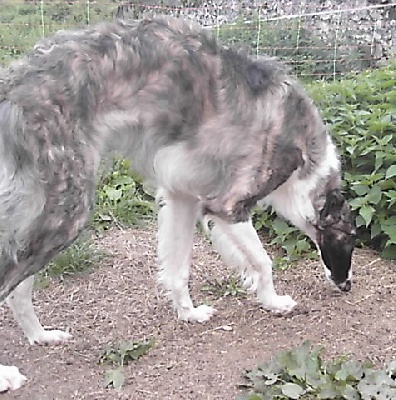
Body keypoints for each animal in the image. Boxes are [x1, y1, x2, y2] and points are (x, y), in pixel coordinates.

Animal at [0, 16, 356, 390]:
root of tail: (12, 84)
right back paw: (7, 373)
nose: (347, 285)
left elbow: (178, 270)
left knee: (18, 290)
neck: (301, 142)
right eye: (350, 237)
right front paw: (274, 302)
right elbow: (263, 262)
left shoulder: (181, 197)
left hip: (40, 213)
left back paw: (40, 335)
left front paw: (189, 313)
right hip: (67, 212)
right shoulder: (229, 206)